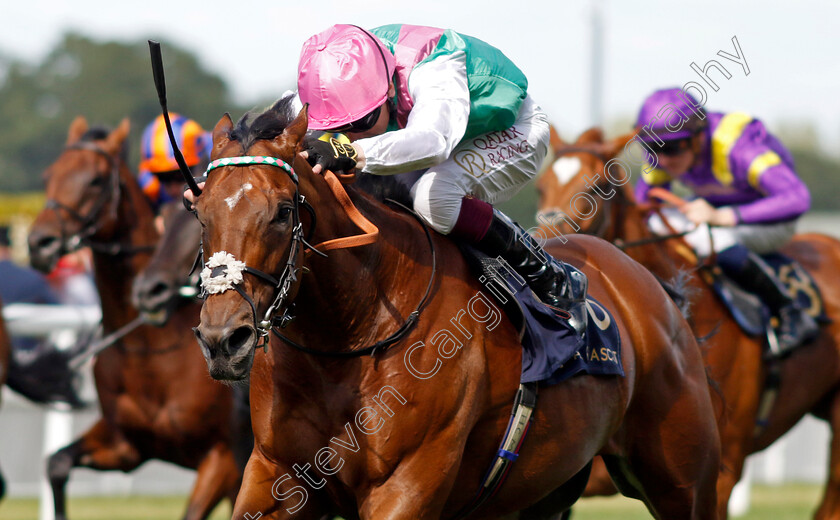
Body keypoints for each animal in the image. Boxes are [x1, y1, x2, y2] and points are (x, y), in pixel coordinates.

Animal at [28, 118, 253, 520]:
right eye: (48, 176)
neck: (150, 349)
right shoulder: (127, 446)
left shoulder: (223, 456)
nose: (40, 243)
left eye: (96, 180)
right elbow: (57, 464)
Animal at [190, 98, 720, 520]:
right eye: (199, 212)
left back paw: (560, 282)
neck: (347, 339)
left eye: (283, 211)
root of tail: (655, 291)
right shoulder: (275, 474)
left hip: (684, 481)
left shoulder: (408, 481)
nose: (223, 340)